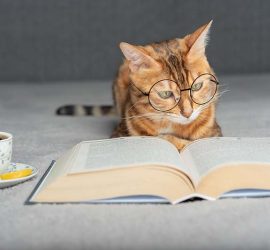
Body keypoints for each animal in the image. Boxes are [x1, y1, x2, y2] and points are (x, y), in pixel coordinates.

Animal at [56, 20, 223, 149]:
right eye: (165, 94)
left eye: (196, 87)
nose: (188, 113)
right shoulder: (120, 135)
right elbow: (163, 139)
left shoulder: (215, 132)